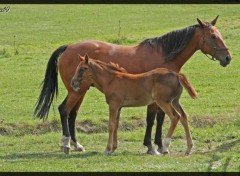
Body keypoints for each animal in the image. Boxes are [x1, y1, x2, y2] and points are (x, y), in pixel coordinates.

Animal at [33, 16, 231, 154]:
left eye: (219, 35)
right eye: (213, 36)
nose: (228, 58)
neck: (164, 54)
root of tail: (68, 47)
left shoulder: (161, 99)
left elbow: (160, 119)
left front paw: (159, 144)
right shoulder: (155, 100)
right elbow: (153, 119)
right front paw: (152, 145)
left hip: (80, 90)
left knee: (72, 114)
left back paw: (76, 144)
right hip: (77, 90)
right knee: (64, 110)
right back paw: (66, 143)